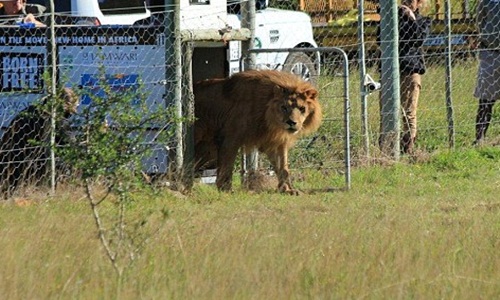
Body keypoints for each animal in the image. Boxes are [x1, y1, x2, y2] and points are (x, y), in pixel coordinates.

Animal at [193, 69, 322, 195]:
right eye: (284, 107)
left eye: (302, 108)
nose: (291, 122)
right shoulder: (230, 138)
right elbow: (227, 166)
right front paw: (226, 190)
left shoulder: (274, 141)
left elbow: (283, 168)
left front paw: (287, 189)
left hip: (208, 150)